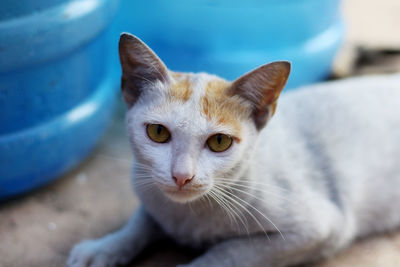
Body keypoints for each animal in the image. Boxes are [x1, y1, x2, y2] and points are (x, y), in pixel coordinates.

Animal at [67, 33, 400, 267]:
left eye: (219, 142)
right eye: (158, 132)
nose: (181, 176)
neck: (189, 213)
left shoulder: (321, 228)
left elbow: (228, 252)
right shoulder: (151, 192)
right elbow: (142, 221)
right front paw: (104, 247)